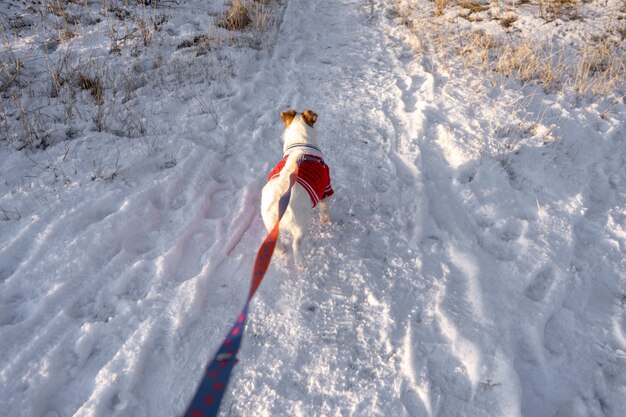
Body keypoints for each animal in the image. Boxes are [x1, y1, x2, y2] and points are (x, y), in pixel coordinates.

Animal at [260, 109, 332, 266]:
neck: (301, 144)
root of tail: (283, 184)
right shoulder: (326, 188)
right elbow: (324, 207)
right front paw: (325, 219)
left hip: (269, 221)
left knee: (274, 239)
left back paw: (281, 250)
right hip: (301, 223)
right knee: (296, 243)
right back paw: (300, 261)